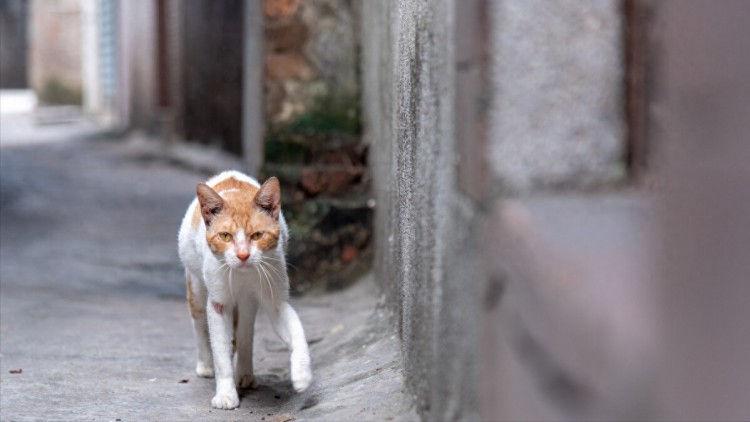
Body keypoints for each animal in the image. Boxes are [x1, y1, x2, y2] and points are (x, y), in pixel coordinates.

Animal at [178, 171, 312, 408]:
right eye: (225, 236)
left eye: (257, 235)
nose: (242, 255)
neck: (243, 275)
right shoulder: (218, 303)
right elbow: (220, 351)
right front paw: (225, 394)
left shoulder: (274, 298)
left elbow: (296, 331)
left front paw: (302, 373)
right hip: (195, 283)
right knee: (199, 321)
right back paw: (205, 364)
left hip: (249, 302)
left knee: (245, 332)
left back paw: (245, 373)